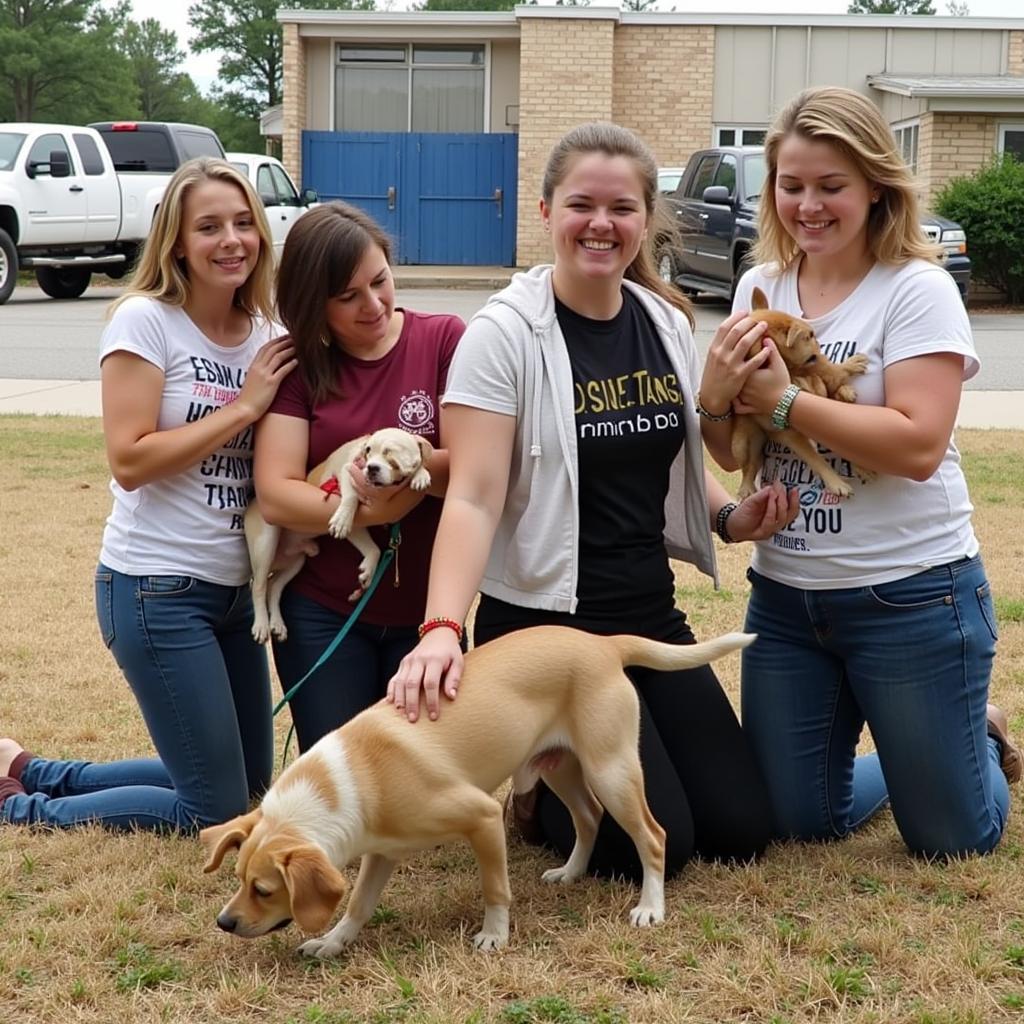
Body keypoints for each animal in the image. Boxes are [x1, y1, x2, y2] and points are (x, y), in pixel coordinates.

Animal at [197, 622, 753, 950]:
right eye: (238, 879)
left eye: (264, 890)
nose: (224, 922)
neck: (351, 778)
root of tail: (603, 643)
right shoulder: (382, 849)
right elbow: (357, 903)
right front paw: (334, 942)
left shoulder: (482, 817)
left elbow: (495, 887)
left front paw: (493, 936)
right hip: (560, 767)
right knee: (589, 818)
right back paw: (571, 873)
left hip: (611, 770)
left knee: (652, 837)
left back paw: (650, 907)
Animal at [247, 428, 432, 643]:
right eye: (368, 451)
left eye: (390, 454)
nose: (371, 468)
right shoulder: (347, 473)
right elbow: (350, 499)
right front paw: (343, 519)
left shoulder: (360, 524)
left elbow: (373, 549)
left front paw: (421, 474)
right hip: (265, 542)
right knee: (259, 587)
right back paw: (261, 624)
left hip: (297, 561)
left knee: (274, 588)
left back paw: (277, 623)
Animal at [729, 284, 872, 499]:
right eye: (809, 336)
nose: (819, 343)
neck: (796, 373)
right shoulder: (792, 434)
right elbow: (816, 459)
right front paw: (836, 482)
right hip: (741, 443)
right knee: (750, 465)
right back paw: (746, 488)